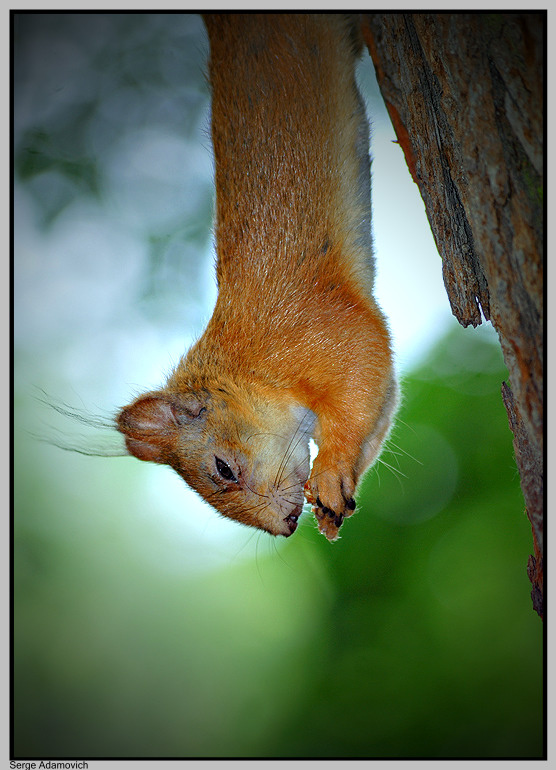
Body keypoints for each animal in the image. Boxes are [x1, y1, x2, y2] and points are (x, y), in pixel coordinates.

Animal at [117, 13, 398, 541]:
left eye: (223, 468)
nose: (286, 526)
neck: (248, 367)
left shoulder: (317, 333)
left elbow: (363, 370)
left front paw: (332, 471)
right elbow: (382, 410)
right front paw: (335, 503)